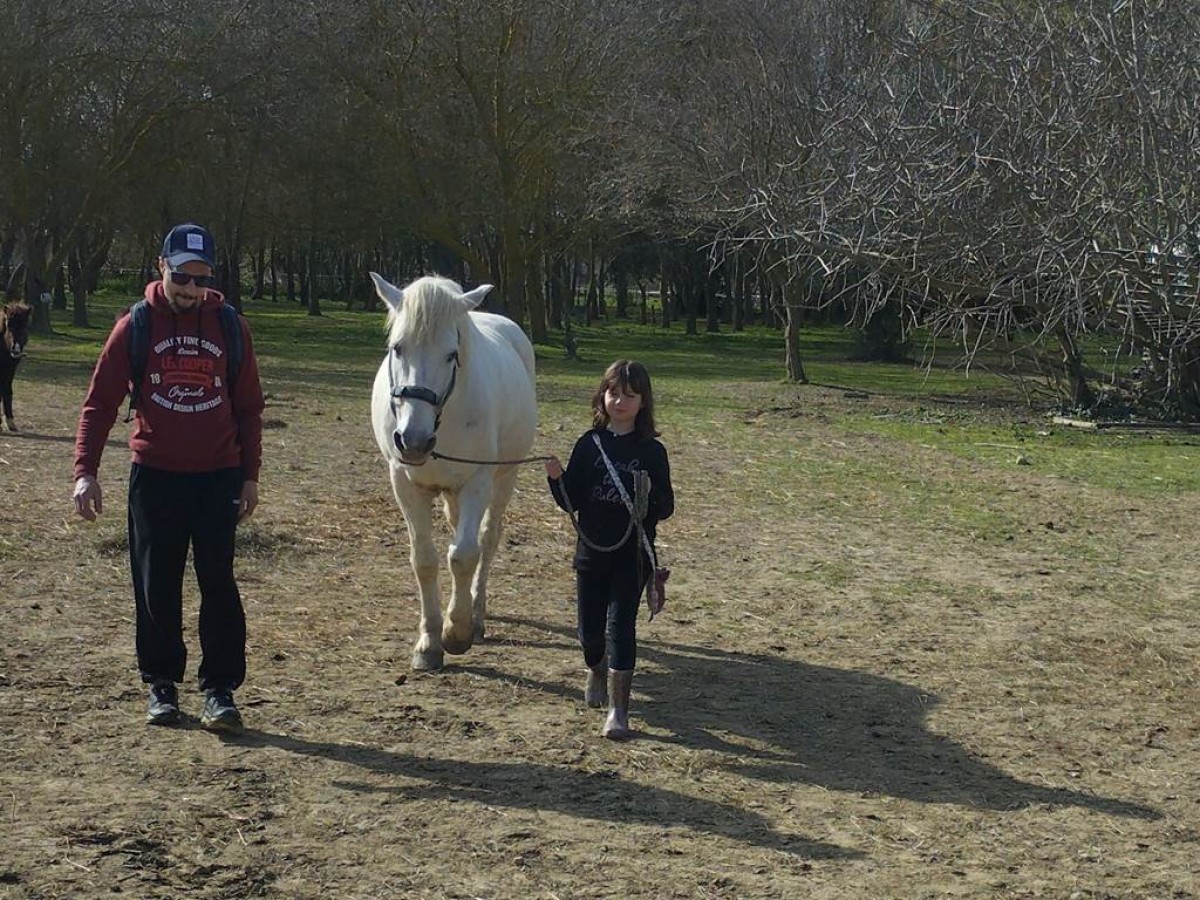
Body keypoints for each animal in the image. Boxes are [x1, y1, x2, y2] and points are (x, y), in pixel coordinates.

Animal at [369, 273, 538, 671]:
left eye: (451, 354)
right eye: (397, 348)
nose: (413, 440)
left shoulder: (477, 481)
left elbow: (463, 555)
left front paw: (457, 632)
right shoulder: (405, 484)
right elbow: (425, 560)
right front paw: (429, 642)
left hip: (504, 477)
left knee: (486, 539)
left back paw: (476, 613)